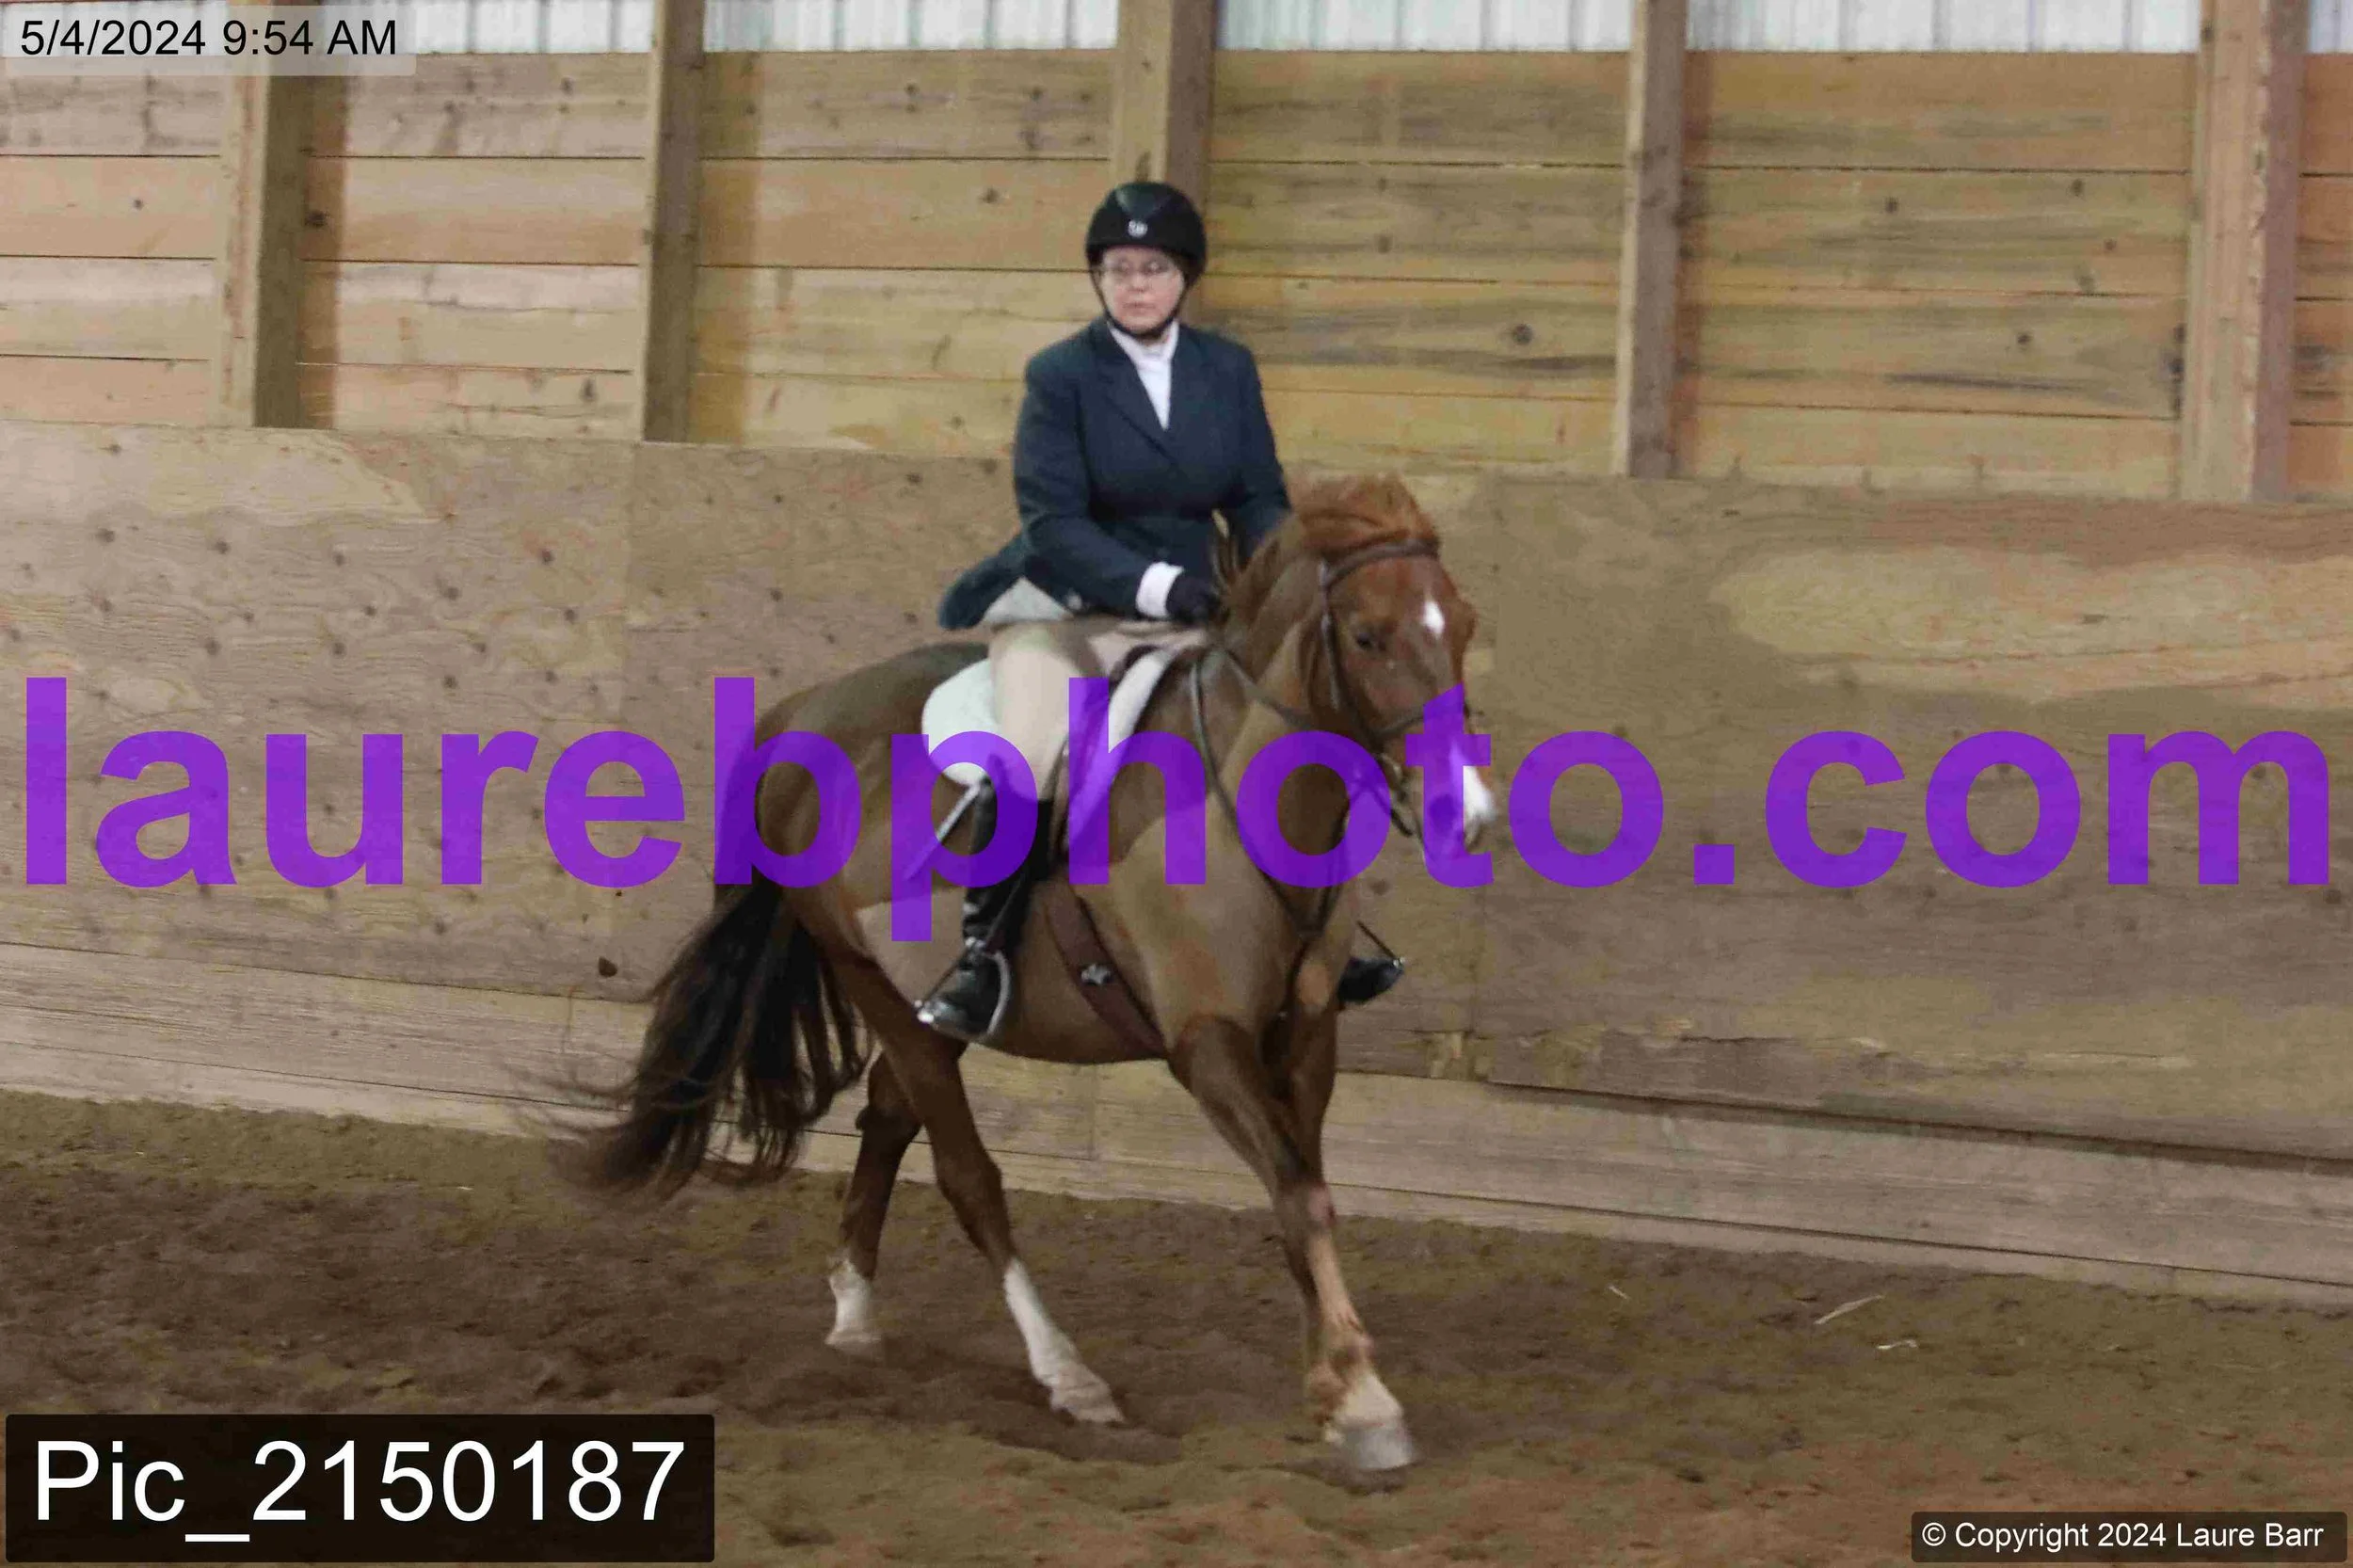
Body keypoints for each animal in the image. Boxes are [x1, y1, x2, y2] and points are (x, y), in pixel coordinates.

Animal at [557, 472, 1498, 1472]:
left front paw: (1340, 1386)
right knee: (969, 1176)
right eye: (1368, 636)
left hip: (921, 1009)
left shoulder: (1306, 1036)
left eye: (1463, 623)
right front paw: (1361, 1402)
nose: (1466, 812)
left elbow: (1304, 1195)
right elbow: (1298, 1192)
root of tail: (801, 715)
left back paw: (856, 1319)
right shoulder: (1206, 1043)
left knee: (888, 1117)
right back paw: (1067, 1375)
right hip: (868, 979)